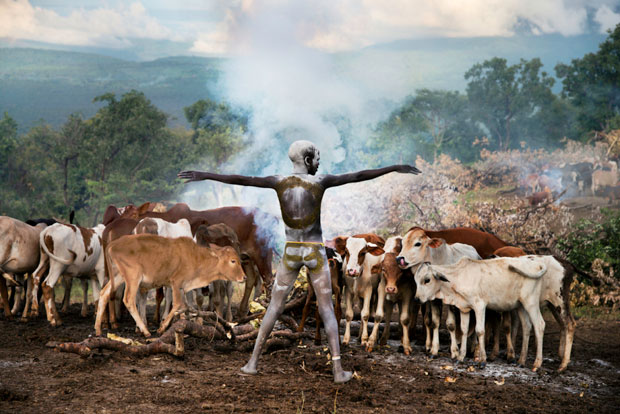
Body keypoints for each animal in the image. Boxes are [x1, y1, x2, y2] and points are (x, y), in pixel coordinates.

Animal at [94, 230, 245, 336]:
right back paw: (145, 331)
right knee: (128, 300)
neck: (195, 258)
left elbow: (184, 306)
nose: (244, 277)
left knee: (104, 293)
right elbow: (177, 304)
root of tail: (113, 244)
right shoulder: (176, 283)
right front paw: (161, 328)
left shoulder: (182, 287)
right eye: (233, 261)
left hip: (118, 275)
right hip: (133, 277)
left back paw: (98, 329)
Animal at [416, 258, 548, 370]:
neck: (459, 276)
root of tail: (536, 263)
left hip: (531, 303)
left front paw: (482, 361)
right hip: (521, 305)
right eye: (416, 281)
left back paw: (537, 364)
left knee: (539, 325)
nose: (417, 299)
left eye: (427, 280)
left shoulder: (479, 306)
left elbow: (480, 331)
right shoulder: (465, 308)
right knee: (527, 326)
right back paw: (521, 361)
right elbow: (464, 330)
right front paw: (460, 357)